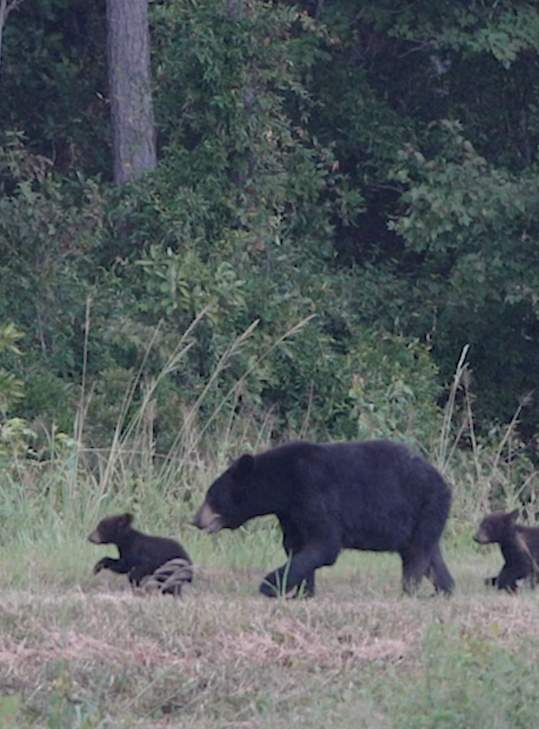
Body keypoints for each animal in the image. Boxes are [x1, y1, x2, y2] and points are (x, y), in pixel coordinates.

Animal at [192, 439, 454, 597]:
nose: (196, 520)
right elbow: (296, 546)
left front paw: (269, 585)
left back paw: (409, 590)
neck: (284, 484)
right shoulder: (291, 514)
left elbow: (324, 544)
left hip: (423, 507)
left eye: (211, 496)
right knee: (430, 554)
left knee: (416, 554)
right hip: (423, 519)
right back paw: (444, 589)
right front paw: (303, 591)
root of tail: (444, 482)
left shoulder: (313, 493)